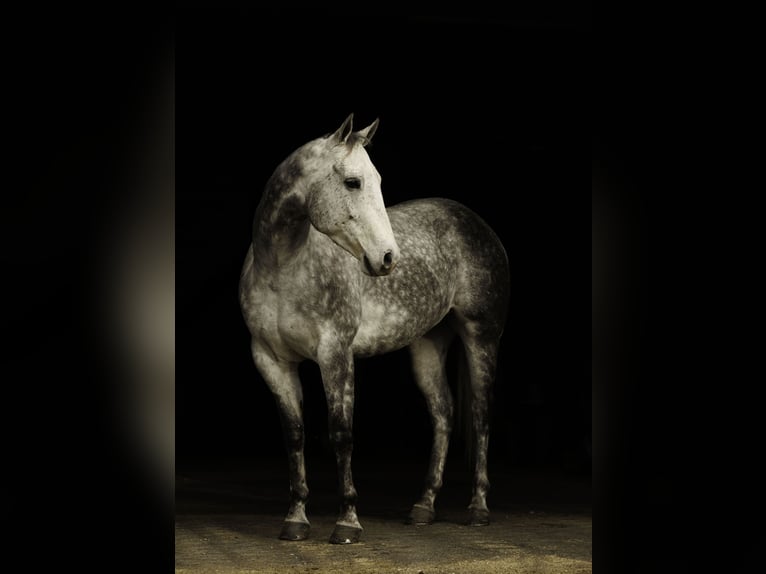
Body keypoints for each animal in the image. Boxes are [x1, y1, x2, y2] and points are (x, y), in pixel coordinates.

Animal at [239, 114, 510, 544]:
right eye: (353, 182)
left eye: (377, 180)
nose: (387, 257)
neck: (282, 268)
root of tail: (475, 222)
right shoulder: (270, 360)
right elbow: (294, 434)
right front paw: (295, 519)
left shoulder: (335, 354)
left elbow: (341, 433)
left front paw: (347, 522)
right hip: (427, 344)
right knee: (444, 414)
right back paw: (423, 506)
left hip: (481, 336)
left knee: (480, 413)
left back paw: (478, 509)